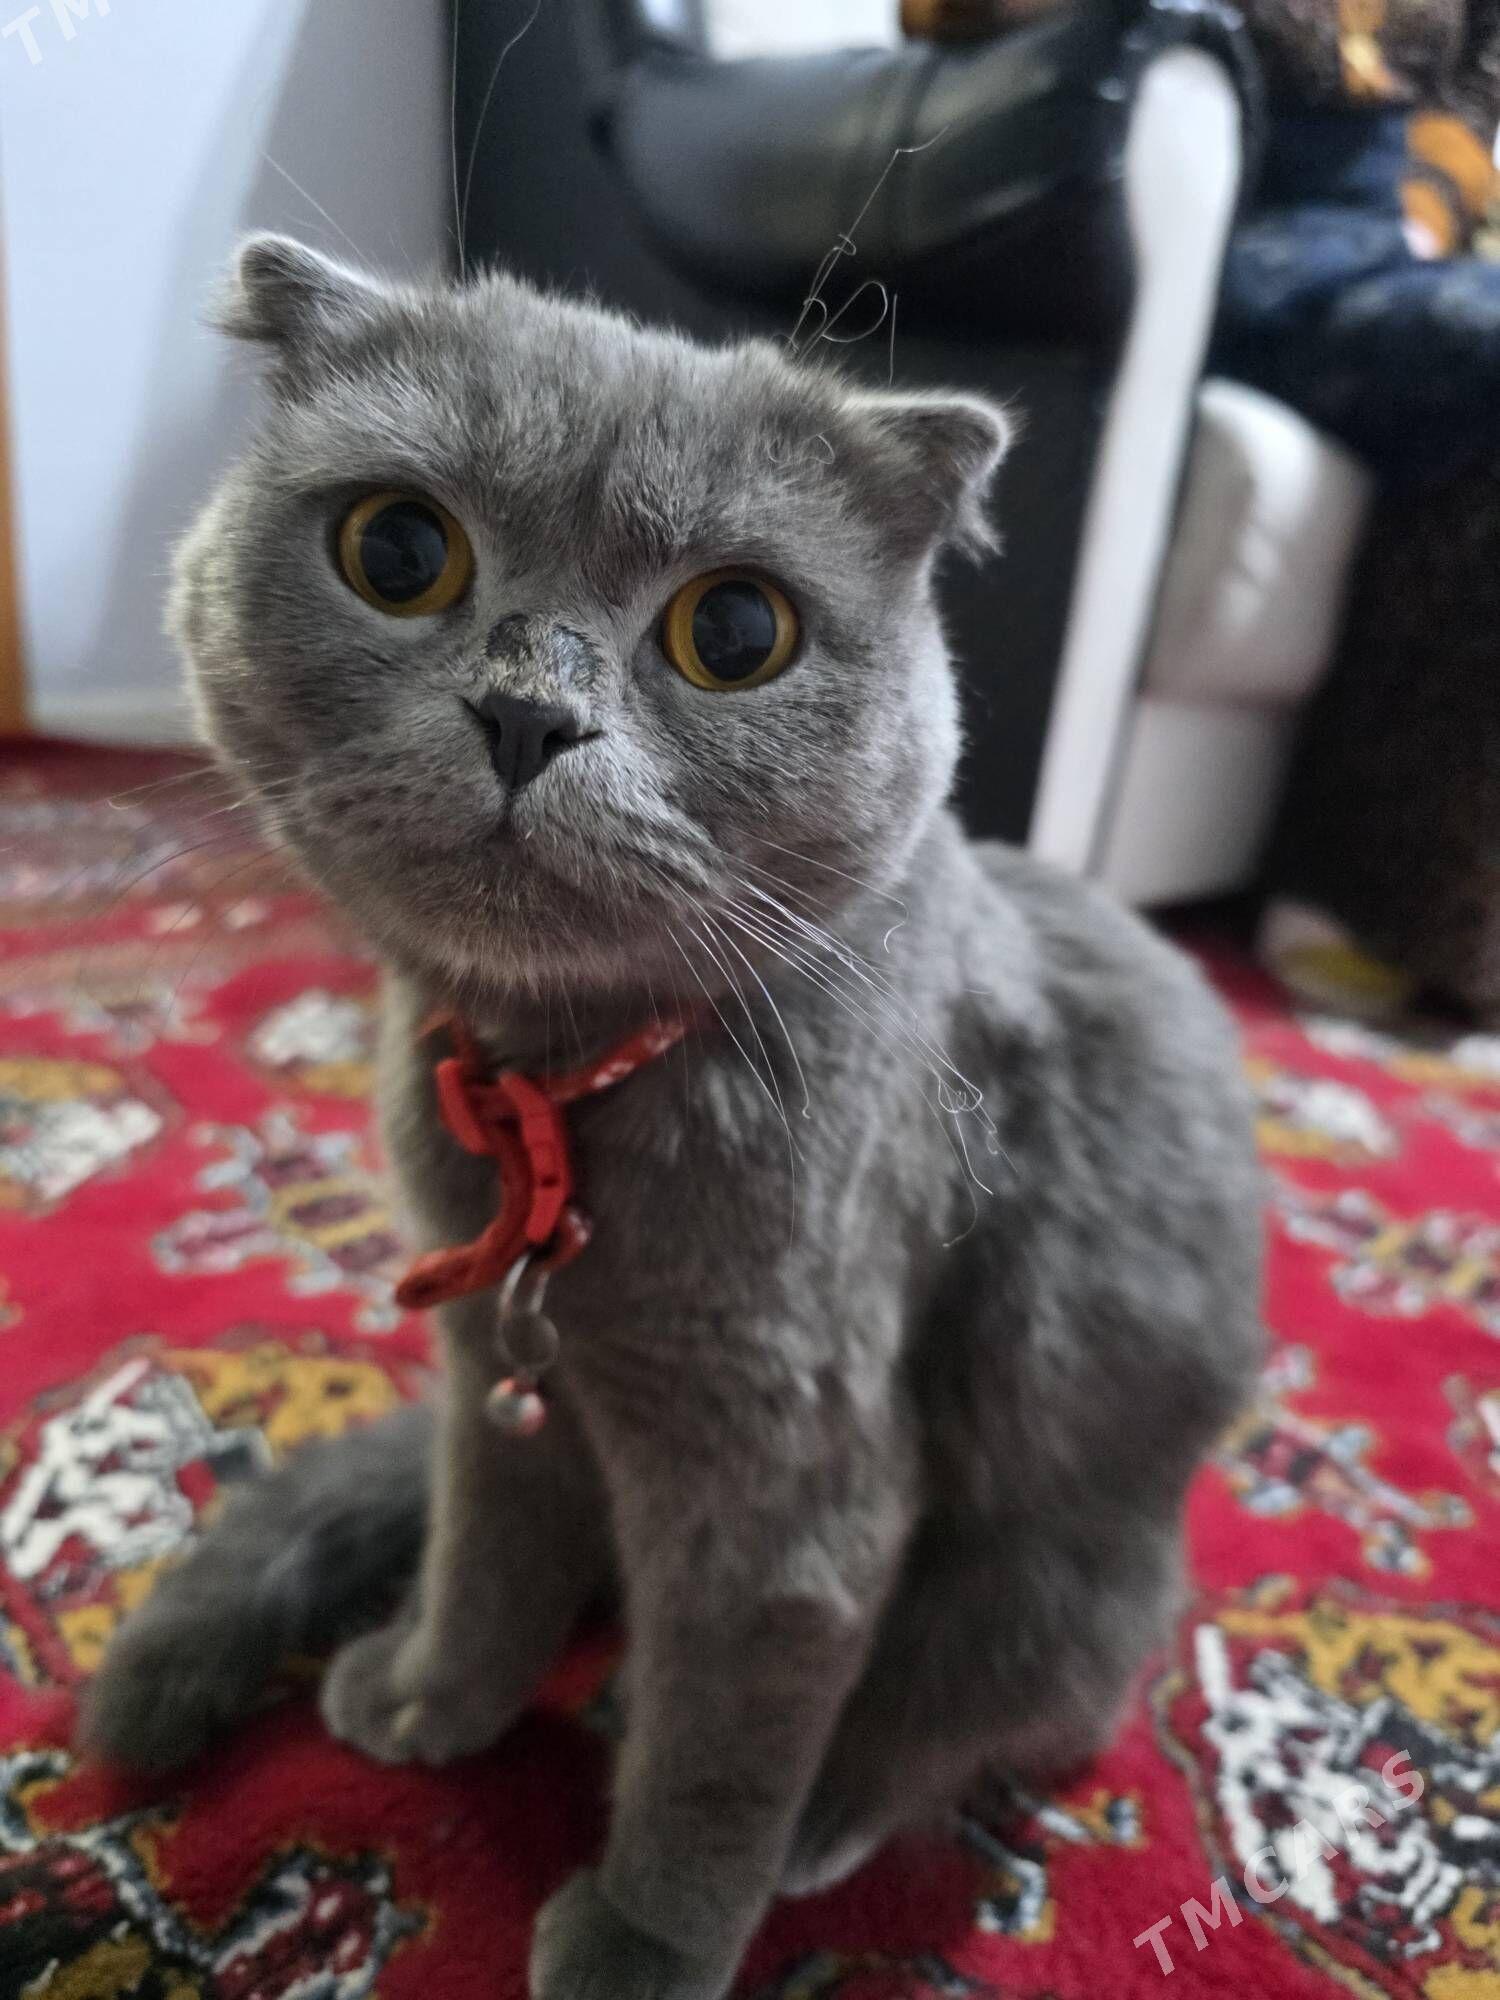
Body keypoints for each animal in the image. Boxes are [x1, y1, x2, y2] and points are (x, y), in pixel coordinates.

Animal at [82, 235, 1264, 2000]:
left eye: (739, 629)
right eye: (399, 549)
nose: (525, 714)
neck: (551, 1102)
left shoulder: (785, 1482)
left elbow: (723, 1749)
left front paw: (641, 1941)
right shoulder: (489, 1381)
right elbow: (485, 1551)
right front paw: (434, 1697)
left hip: (1057, 1559)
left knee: (971, 1705)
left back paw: (811, 1806)